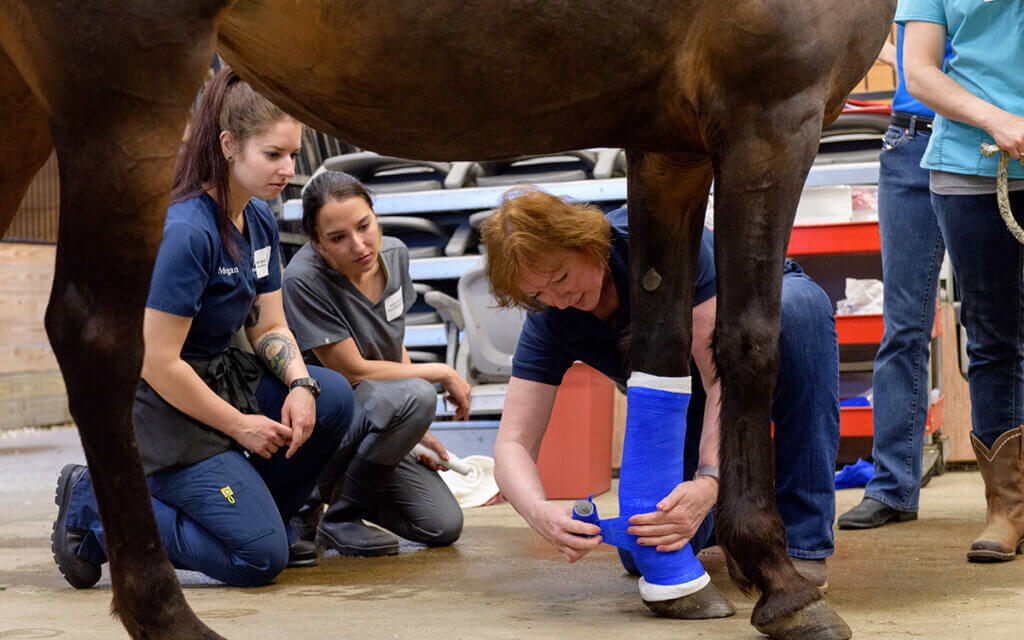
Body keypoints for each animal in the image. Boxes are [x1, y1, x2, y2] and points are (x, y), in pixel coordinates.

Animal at [0, 0, 892, 634]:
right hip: (125, 87)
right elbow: (749, 344)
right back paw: (168, 616)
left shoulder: (670, 143)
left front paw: (671, 566)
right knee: (95, 336)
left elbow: (666, 351)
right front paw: (780, 581)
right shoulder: (770, 114)